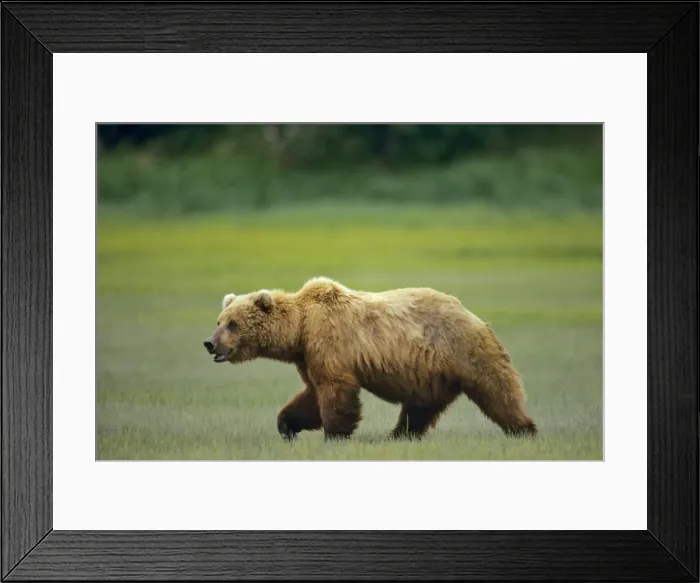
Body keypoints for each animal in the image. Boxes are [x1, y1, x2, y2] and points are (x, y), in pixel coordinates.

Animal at [203, 276, 538, 441]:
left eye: (233, 324)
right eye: (219, 320)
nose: (209, 343)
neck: (300, 329)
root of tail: (474, 315)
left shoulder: (330, 342)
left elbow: (335, 390)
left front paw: (335, 434)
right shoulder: (308, 355)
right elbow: (311, 394)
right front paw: (287, 425)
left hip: (464, 350)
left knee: (497, 389)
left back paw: (525, 429)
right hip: (431, 373)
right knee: (420, 408)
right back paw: (400, 435)